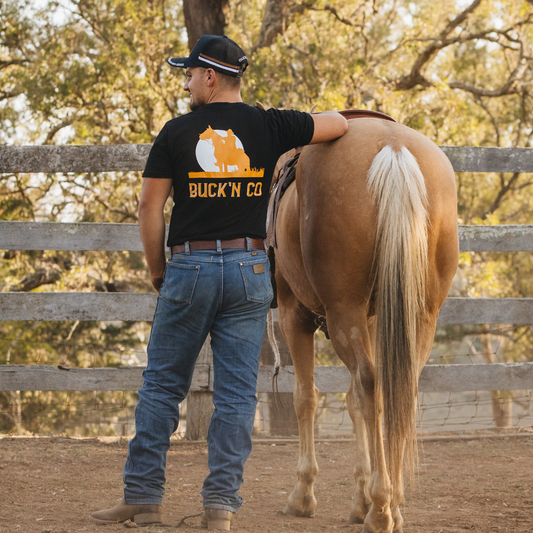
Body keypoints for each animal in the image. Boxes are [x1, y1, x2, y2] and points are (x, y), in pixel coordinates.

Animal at [274, 116, 458, 532]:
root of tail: (393, 147)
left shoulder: (294, 313)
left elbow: (306, 398)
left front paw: (303, 494)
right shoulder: (375, 320)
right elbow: (356, 404)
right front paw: (361, 495)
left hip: (343, 313)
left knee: (370, 384)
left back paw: (381, 509)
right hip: (419, 317)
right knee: (398, 389)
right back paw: (391, 504)